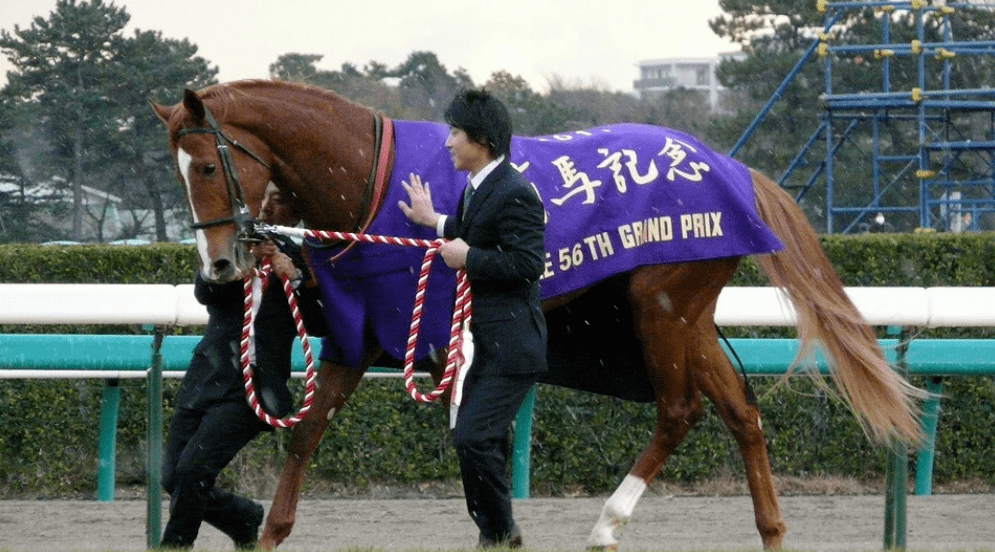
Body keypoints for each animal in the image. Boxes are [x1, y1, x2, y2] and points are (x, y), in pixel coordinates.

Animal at [151, 80, 924, 551]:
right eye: (177, 175)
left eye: (209, 167)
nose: (219, 267)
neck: (369, 175)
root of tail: (736, 171)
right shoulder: (355, 325)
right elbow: (307, 432)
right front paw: (269, 531)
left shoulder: (410, 321)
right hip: (687, 315)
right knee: (740, 410)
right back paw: (770, 530)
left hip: (660, 305)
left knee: (681, 410)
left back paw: (608, 523)